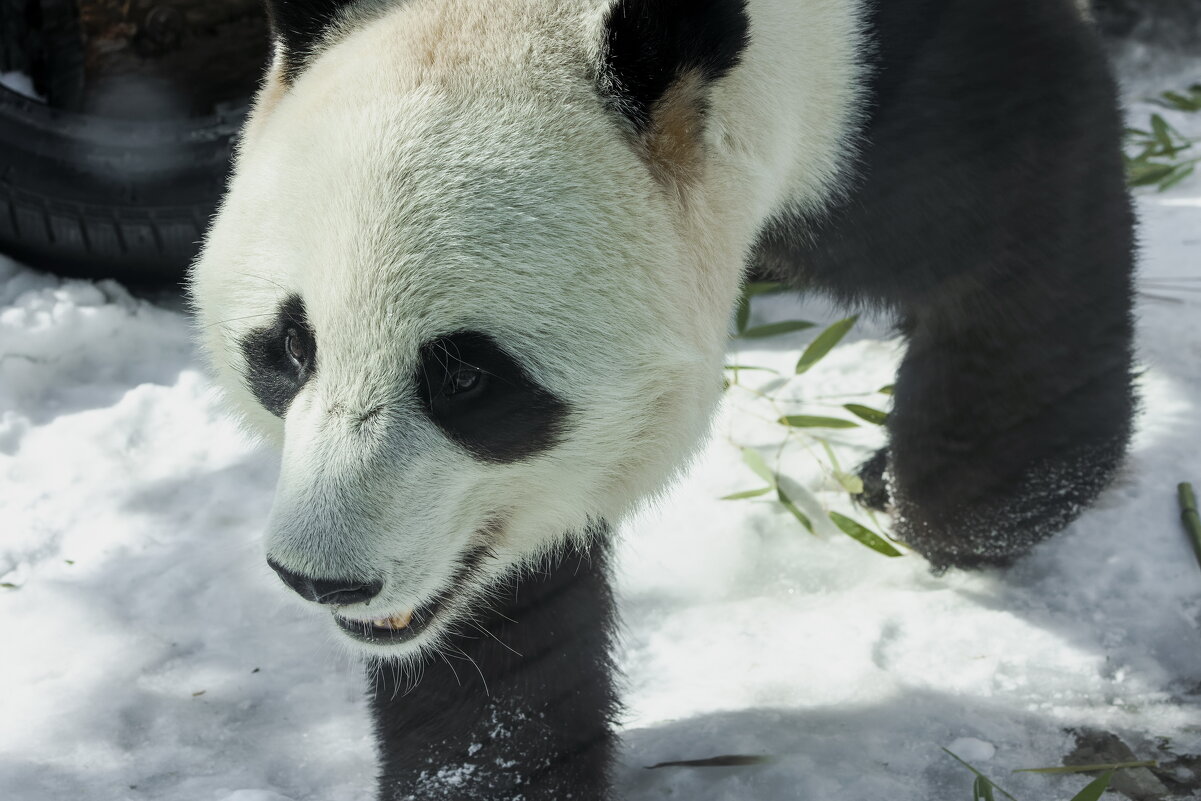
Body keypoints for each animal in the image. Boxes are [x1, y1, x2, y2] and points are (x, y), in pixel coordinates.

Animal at [187, 0, 1133, 797]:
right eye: (290, 347)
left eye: (465, 377)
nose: (321, 579)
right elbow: (505, 616)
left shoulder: (894, 86)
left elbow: (1026, 224)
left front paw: (963, 504)